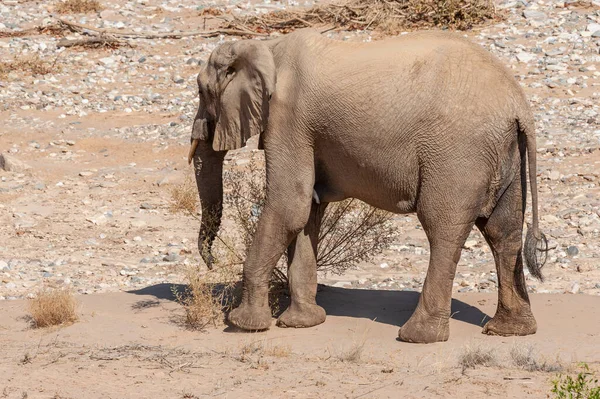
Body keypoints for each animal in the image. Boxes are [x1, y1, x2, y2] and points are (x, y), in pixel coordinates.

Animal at [189, 28, 548, 344]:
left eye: (203, 91)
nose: (211, 262)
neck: (266, 46)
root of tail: (518, 104)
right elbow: (308, 210)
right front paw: (302, 324)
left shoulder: (288, 118)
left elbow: (290, 205)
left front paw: (243, 325)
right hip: (504, 154)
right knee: (502, 232)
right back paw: (509, 331)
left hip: (457, 154)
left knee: (443, 229)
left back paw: (417, 337)